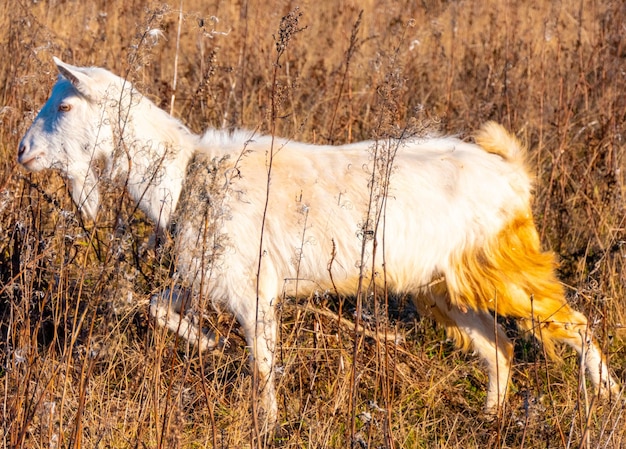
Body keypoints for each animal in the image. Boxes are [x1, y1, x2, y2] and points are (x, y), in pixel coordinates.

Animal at [19, 59, 620, 428]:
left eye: (66, 107)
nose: (23, 152)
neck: (187, 173)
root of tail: (511, 172)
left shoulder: (252, 287)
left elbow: (262, 361)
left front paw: (266, 423)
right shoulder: (207, 274)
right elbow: (154, 304)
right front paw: (207, 343)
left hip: (502, 265)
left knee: (574, 323)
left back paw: (607, 396)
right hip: (444, 284)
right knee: (498, 346)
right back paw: (492, 417)